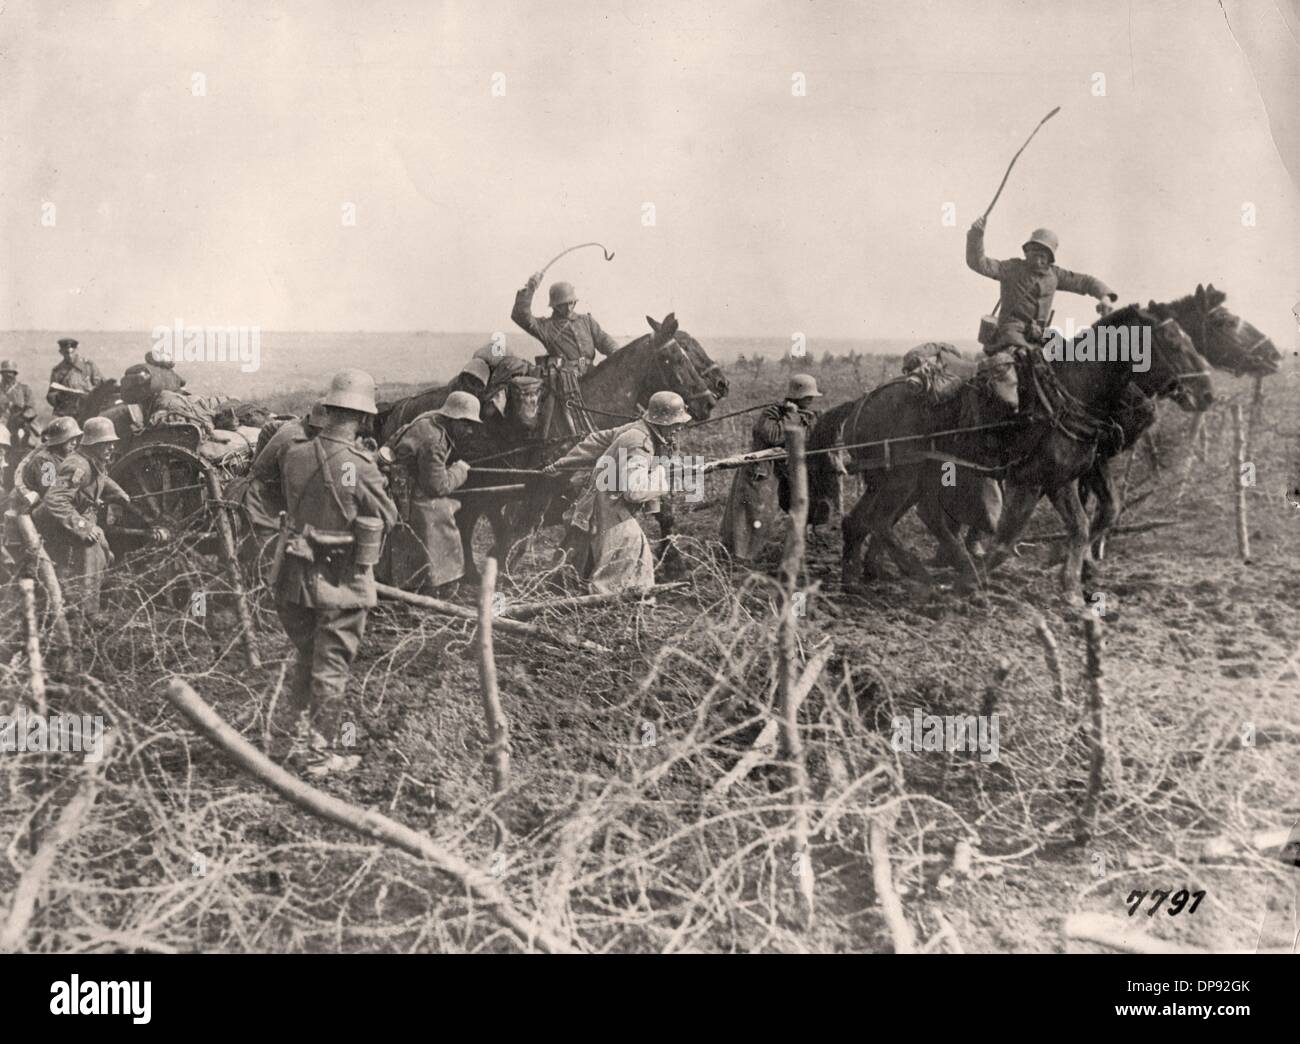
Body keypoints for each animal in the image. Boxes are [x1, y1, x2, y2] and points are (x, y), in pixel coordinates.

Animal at [374, 314, 722, 585]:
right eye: (675, 358)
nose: (709, 399)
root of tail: (399, 406)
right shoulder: (541, 488)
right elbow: (522, 533)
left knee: (466, 522)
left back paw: (468, 575)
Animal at [816, 306, 1211, 600]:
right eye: (1173, 344)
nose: (1206, 393)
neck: (1067, 394)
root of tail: (864, 399)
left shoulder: (1062, 479)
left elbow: (1084, 525)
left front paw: (1070, 585)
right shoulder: (1031, 481)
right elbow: (1007, 540)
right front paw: (973, 582)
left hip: (897, 478)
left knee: (862, 522)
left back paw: (856, 580)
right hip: (902, 476)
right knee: (882, 522)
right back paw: (926, 573)